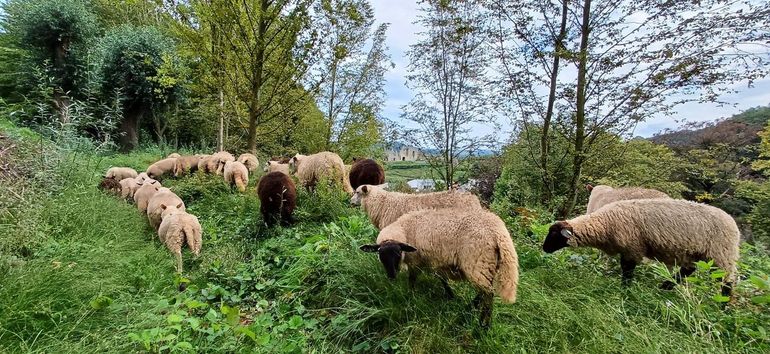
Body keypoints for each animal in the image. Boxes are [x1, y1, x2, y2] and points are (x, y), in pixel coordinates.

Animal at [358, 209, 516, 328]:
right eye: (380, 255)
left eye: (398, 254)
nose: (391, 276)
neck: (404, 229)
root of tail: (499, 232)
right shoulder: (435, 260)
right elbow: (442, 279)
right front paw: (450, 295)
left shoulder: (416, 260)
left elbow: (412, 280)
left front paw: (411, 297)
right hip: (487, 266)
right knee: (485, 292)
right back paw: (470, 308)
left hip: (477, 265)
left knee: (488, 294)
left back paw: (483, 325)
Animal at [540, 199, 736, 296]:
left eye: (554, 235)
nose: (544, 249)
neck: (605, 223)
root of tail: (733, 223)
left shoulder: (632, 248)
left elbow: (627, 271)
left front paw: (625, 291)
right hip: (694, 253)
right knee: (688, 270)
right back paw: (665, 286)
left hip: (722, 254)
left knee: (727, 281)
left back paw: (723, 306)